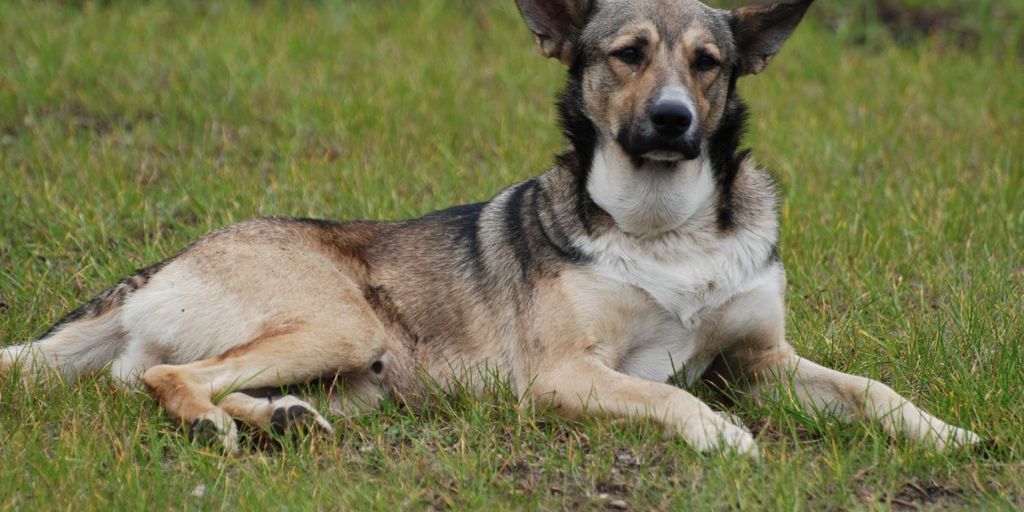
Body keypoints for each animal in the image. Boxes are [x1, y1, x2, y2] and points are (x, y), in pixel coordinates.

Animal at [0, 0, 978, 456]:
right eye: (628, 54)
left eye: (710, 64)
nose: (673, 122)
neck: (664, 228)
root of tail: (164, 264)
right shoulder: (564, 374)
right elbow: (673, 395)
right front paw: (720, 435)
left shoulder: (761, 360)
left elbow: (873, 391)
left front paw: (949, 435)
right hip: (339, 323)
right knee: (163, 377)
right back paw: (217, 425)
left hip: (364, 378)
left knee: (188, 378)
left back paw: (281, 419)